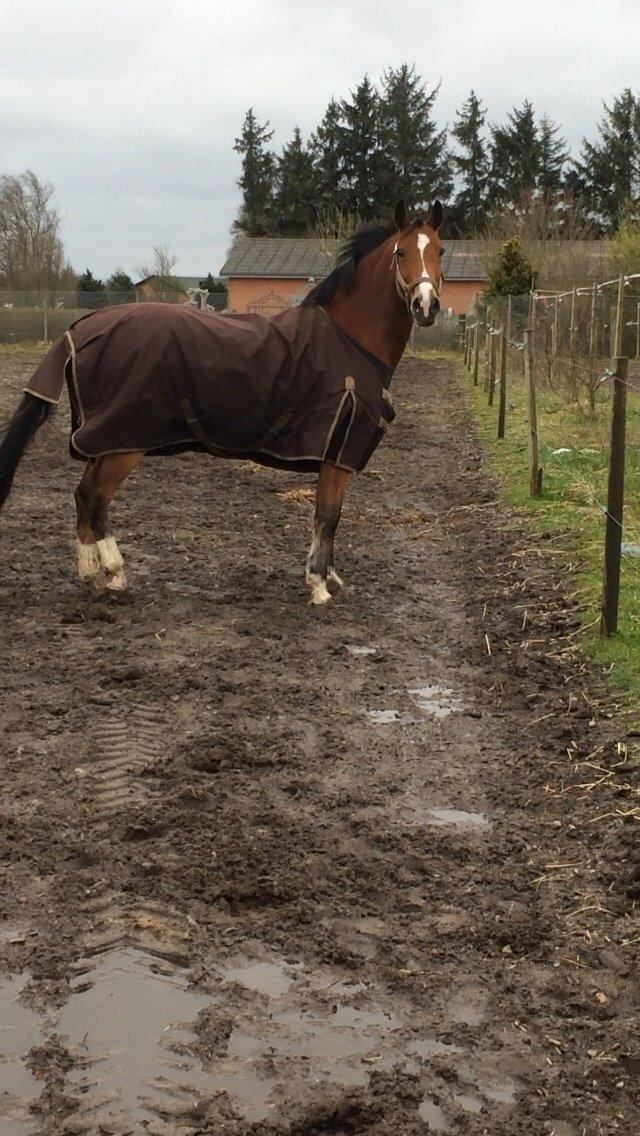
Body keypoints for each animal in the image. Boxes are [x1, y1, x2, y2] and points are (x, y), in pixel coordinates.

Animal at [0, 196, 443, 608]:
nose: (426, 305)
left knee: (81, 497)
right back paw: (115, 574)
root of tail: (83, 328)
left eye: (439, 251)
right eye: (401, 252)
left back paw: (91, 575)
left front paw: (330, 578)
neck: (348, 339)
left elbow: (331, 518)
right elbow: (327, 516)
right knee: (93, 498)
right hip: (123, 442)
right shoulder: (338, 453)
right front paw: (318, 585)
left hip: (109, 443)